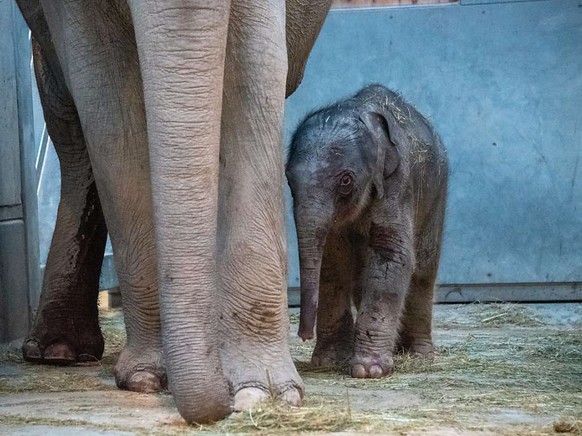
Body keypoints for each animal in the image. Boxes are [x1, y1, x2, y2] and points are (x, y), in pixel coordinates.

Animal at [14, 0, 334, 422]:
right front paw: (149, 378)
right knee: (71, 131)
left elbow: (253, 72)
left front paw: (263, 394)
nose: (222, 405)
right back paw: (58, 351)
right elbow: (110, 106)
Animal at [290, 85, 450, 378]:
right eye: (288, 179)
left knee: (423, 271)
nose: (303, 336)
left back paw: (419, 355)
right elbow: (333, 261)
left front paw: (369, 370)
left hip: (437, 194)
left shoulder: (398, 183)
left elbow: (392, 255)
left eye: (345, 180)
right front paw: (329, 361)